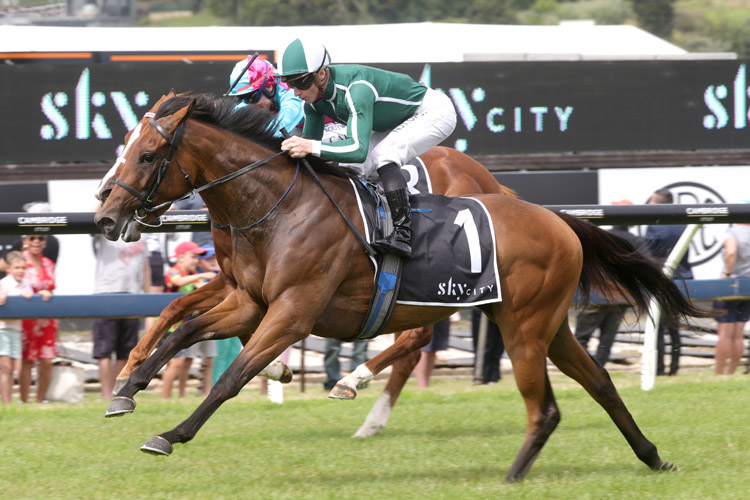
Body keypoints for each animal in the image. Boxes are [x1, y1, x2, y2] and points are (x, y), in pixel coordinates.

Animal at [94, 94, 712, 480]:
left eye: (147, 154)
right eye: (123, 147)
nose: (104, 211)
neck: (278, 206)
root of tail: (555, 219)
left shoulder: (292, 312)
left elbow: (232, 376)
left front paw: (170, 432)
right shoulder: (250, 301)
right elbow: (183, 327)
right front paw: (128, 387)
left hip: (521, 326)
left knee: (512, 387)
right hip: (545, 324)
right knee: (600, 382)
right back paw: (653, 457)